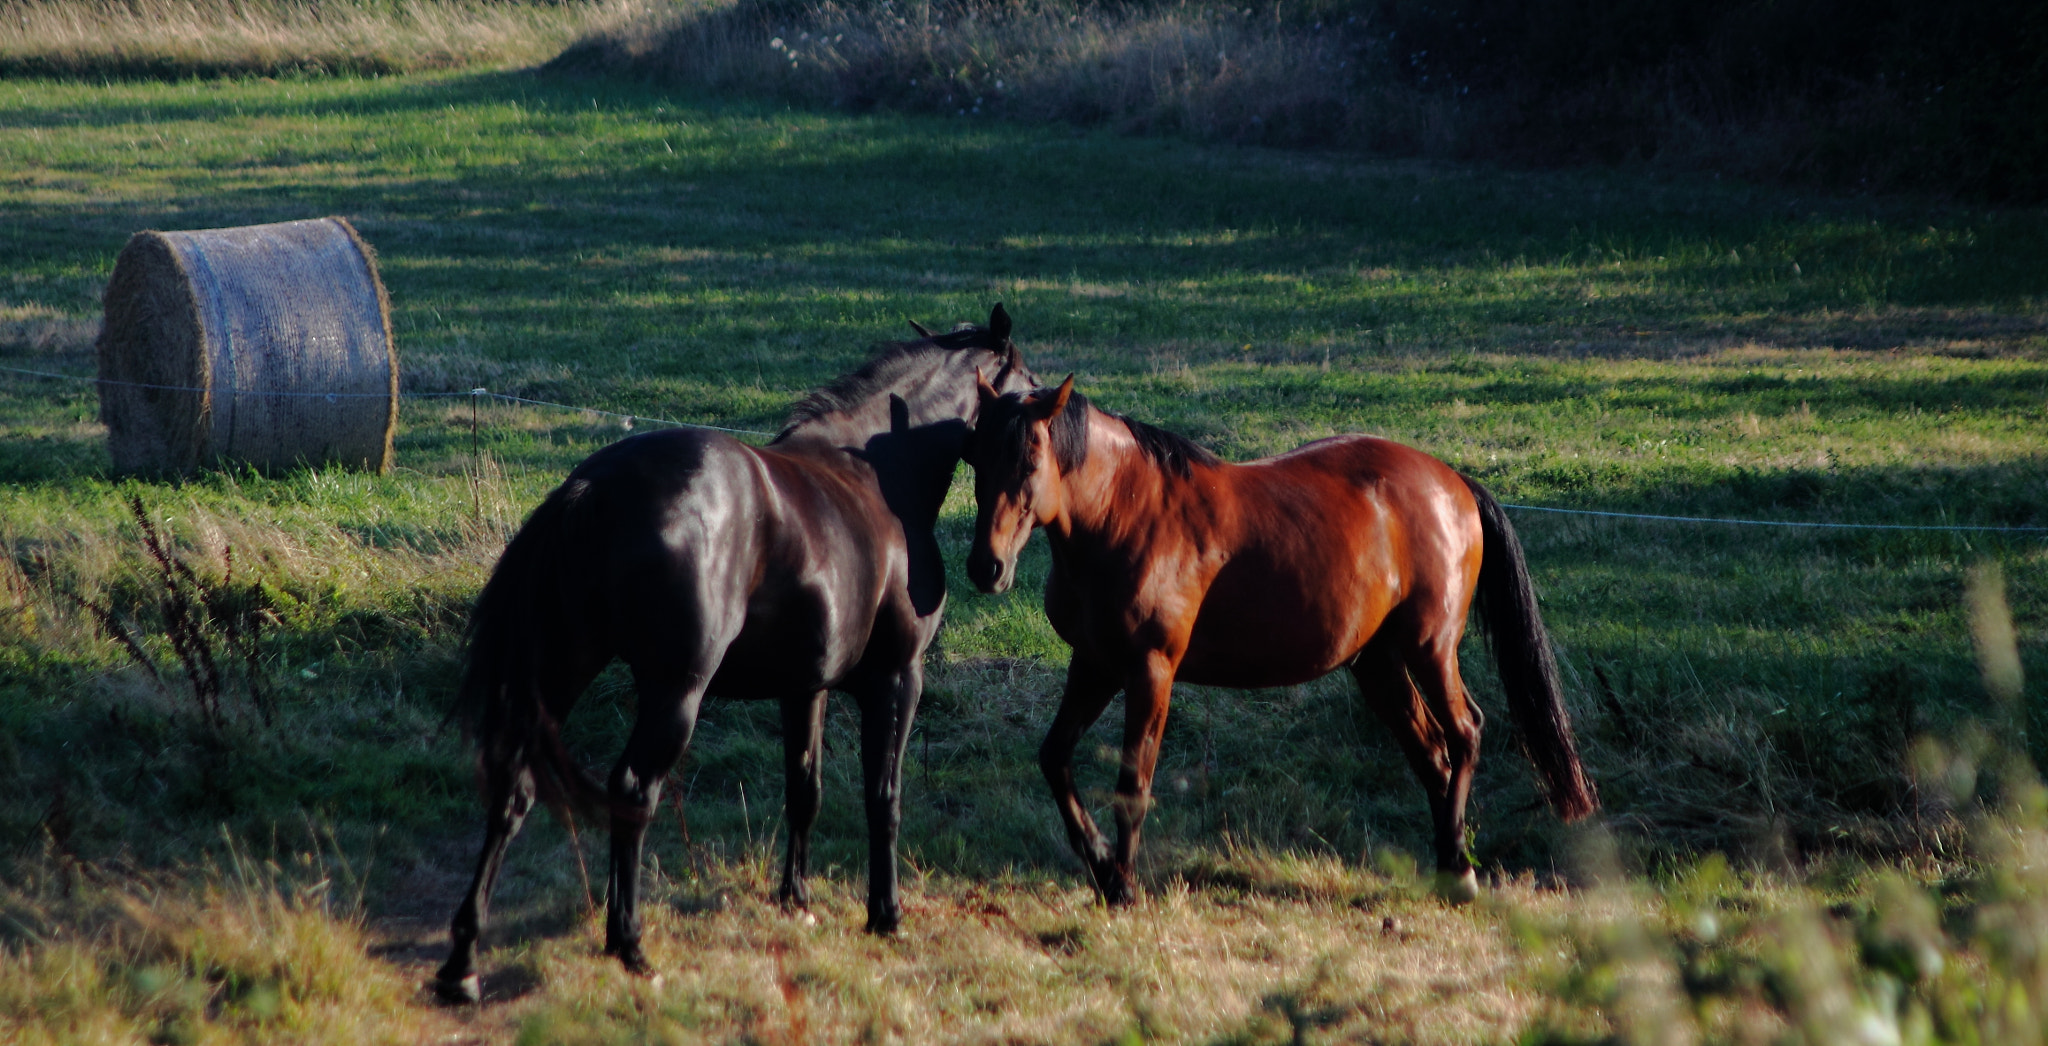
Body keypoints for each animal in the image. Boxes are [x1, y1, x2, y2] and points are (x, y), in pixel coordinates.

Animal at [433, 306, 1038, 1003]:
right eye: (1027, 413)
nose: (992, 569)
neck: (877, 476)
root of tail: (594, 485)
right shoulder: (896, 679)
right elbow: (882, 796)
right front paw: (885, 916)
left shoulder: (805, 687)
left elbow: (805, 788)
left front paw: (795, 899)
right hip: (675, 693)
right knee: (631, 791)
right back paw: (629, 945)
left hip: (562, 672)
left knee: (515, 789)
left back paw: (463, 964)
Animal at [962, 374, 1597, 906]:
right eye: (973, 457)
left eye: (1029, 459)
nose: (986, 568)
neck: (1128, 514)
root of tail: (1453, 482)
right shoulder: (1094, 664)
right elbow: (1054, 757)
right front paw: (1098, 862)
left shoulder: (1150, 669)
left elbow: (1132, 785)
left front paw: (1121, 884)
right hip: (1379, 664)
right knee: (1432, 752)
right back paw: (1451, 866)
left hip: (1430, 647)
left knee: (1464, 733)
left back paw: (1461, 870)